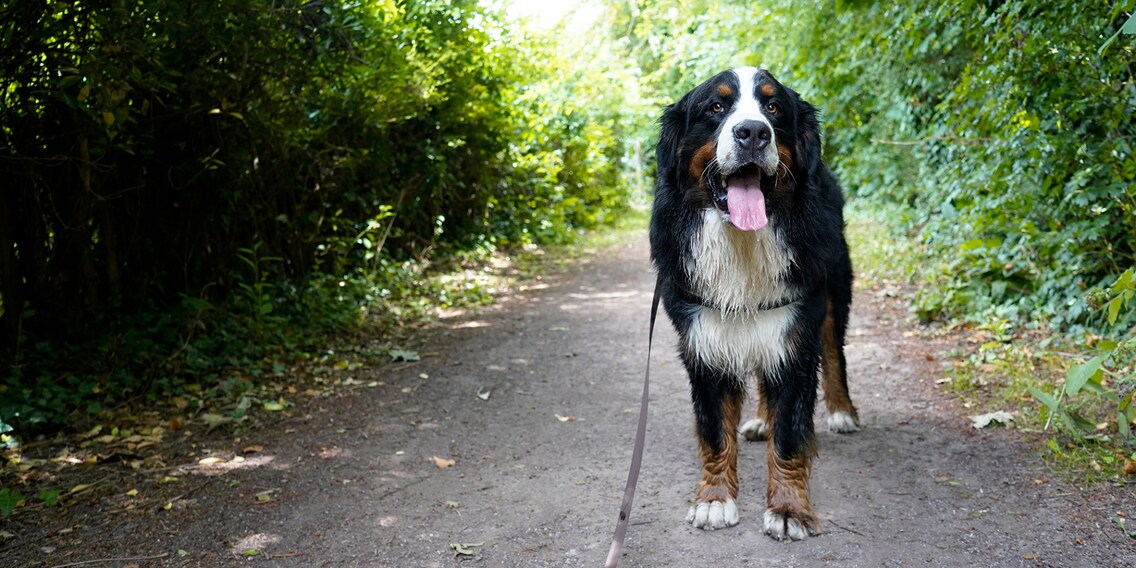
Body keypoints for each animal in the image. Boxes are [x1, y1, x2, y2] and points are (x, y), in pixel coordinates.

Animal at [649, 66, 858, 540]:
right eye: (716, 106)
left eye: (774, 107)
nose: (753, 132)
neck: (741, 241)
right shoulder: (703, 342)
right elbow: (714, 432)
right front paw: (713, 498)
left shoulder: (795, 338)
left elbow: (790, 435)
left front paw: (789, 508)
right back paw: (761, 419)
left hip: (833, 290)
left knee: (835, 354)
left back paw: (842, 412)